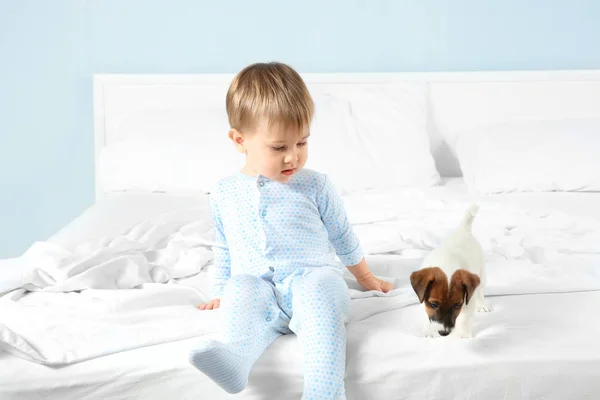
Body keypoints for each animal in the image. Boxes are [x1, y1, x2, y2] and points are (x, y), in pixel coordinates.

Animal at [410, 205, 490, 340]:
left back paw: (482, 305)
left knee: (480, 291)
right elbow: (426, 313)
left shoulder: (468, 300)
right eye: (434, 304)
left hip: (482, 274)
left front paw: (463, 335)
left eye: (457, 305)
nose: (444, 333)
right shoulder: (423, 298)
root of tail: (463, 231)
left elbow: (465, 318)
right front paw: (429, 330)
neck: (446, 264)